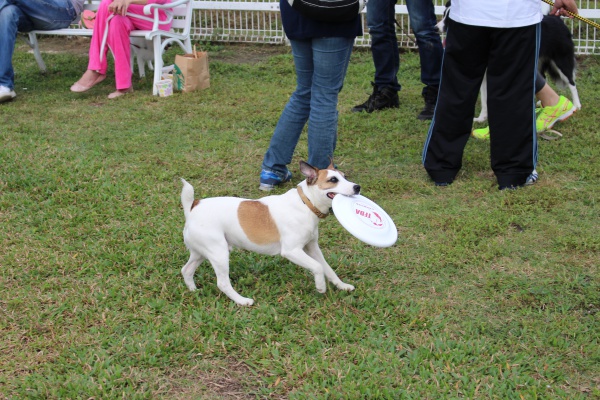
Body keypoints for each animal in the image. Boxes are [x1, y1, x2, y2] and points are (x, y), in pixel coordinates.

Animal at [180, 161, 360, 304]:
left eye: (345, 176)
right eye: (333, 180)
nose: (357, 187)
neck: (305, 203)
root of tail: (192, 209)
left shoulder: (312, 248)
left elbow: (327, 268)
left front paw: (342, 286)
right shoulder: (291, 251)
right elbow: (318, 267)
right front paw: (321, 286)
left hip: (201, 252)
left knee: (186, 270)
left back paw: (193, 290)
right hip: (219, 253)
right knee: (222, 283)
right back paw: (242, 301)